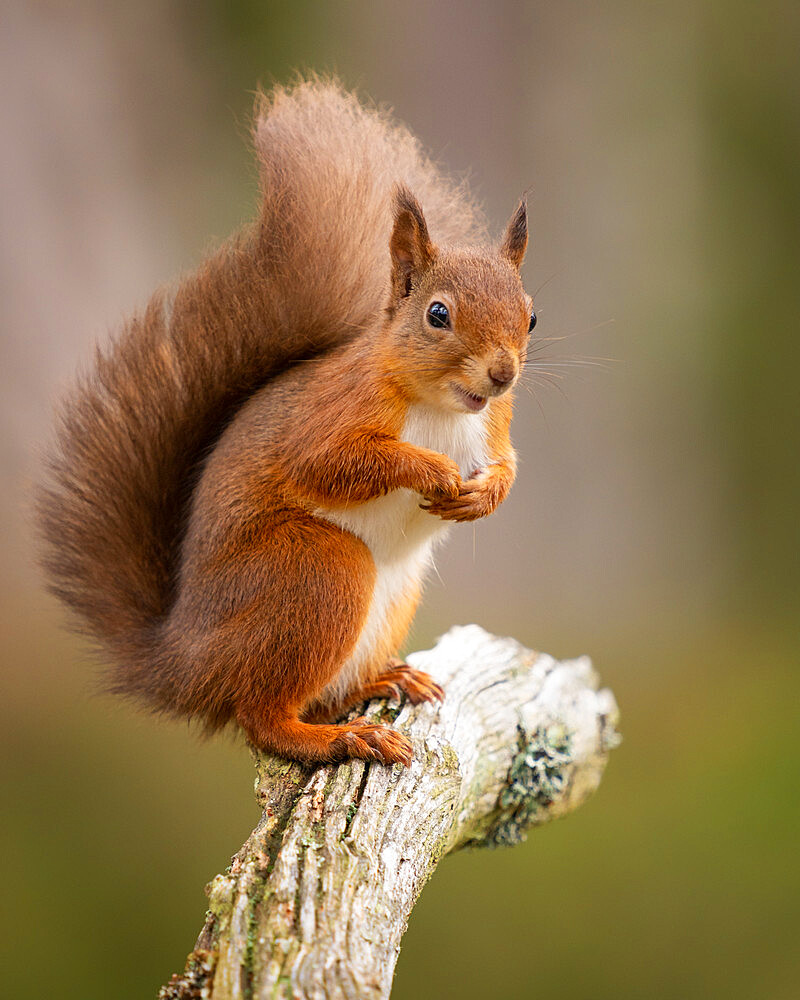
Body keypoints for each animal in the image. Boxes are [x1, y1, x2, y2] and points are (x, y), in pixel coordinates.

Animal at [39, 80, 536, 764]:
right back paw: (340, 736)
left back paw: (381, 684)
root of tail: (185, 661)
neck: (444, 405)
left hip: (388, 597)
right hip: (316, 572)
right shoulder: (336, 410)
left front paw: (485, 493)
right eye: (438, 314)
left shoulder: (496, 423)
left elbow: (508, 464)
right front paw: (431, 470)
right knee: (263, 719)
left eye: (531, 316)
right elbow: (331, 462)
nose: (503, 374)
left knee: (313, 695)